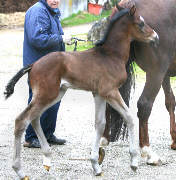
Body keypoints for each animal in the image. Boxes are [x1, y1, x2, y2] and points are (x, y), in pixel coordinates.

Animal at [4, 4, 158, 179]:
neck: (111, 55)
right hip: (47, 94)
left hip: (55, 94)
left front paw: (96, 165)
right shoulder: (110, 91)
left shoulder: (99, 93)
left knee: (35, 118)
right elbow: (129, 117)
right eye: (141, 23)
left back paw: (47, 159)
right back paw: (20, 170)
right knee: (22, 120)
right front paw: (133, 162)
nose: (155, 36)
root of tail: (33, 64)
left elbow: (100, 123)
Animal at [104, 0, 176, 166]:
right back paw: (148, 152)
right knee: (144, 105)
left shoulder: (166, 75)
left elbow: (170, 101)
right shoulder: (160, 73)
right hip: (155, 73)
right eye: (141, 24)